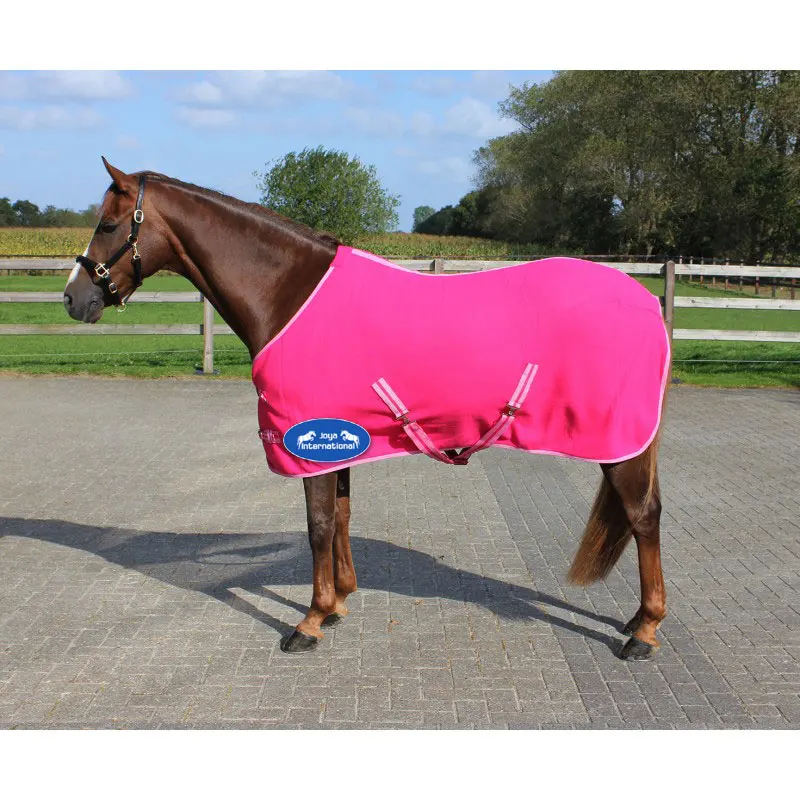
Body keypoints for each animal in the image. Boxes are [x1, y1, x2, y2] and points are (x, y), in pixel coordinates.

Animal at [63, 158, 668, 660]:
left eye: (109, 225)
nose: (73, 299)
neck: (289, 291)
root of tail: (647, 302)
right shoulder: (340, 439)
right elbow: (342, 517)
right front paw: (336, 605)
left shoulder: (307, 440)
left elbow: (317, 525)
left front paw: (308, 622)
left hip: (619, 443)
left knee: (643, 517)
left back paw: (643, 631)